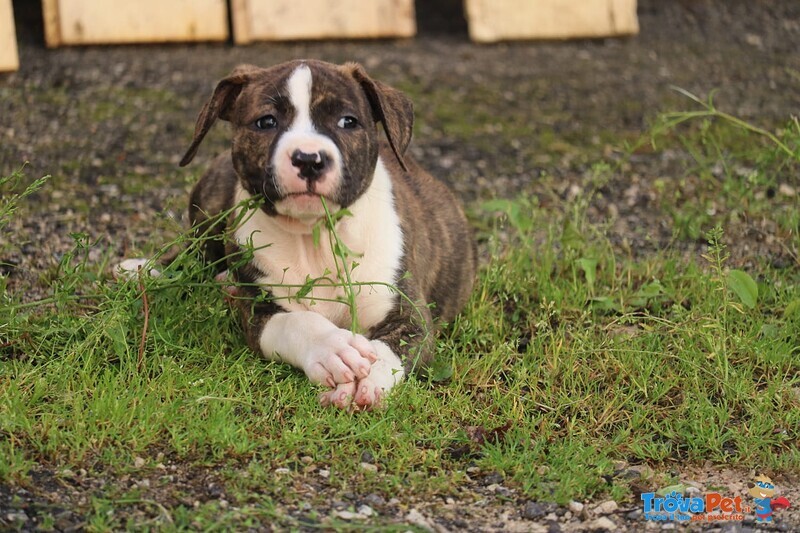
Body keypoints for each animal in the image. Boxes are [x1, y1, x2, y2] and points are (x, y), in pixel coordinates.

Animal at [120, 59, 476, 408]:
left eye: (348, 122)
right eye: (266, 122)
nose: (309, 159)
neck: (316, 236)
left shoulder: (410, 315)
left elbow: (391, 348)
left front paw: (370, 378)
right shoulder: (260, 314)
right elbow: (296, 322)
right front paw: (334, 350)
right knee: (197, 251)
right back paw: (146, 269)